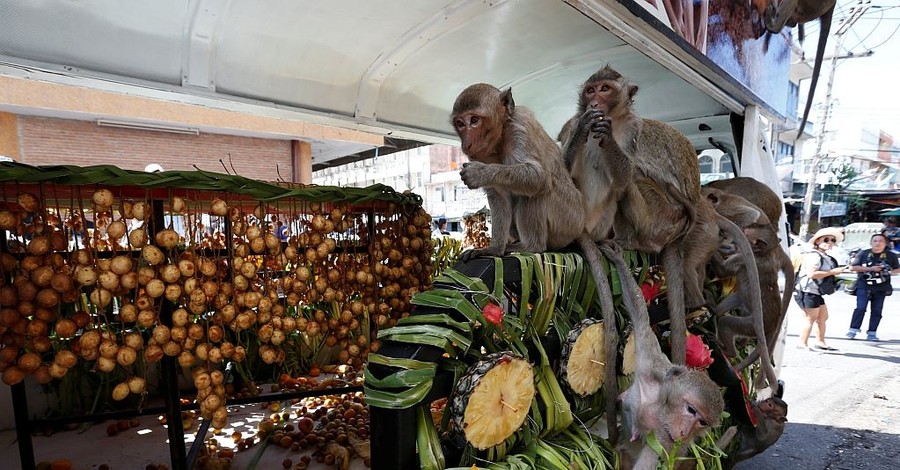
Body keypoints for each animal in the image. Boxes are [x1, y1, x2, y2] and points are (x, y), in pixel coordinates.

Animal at [450, 84, 584, 260]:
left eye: (474, 120)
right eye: (460, 123)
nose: (466, 144)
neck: (500, 138)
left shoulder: (520, 127)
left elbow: (538, 176)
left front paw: (480, 172)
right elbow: (498, 194)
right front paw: (494, 249)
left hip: (569, 220)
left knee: (538, 190)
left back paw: (532, 246)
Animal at [596, 242, 724, 470]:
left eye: (702, 422)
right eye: (691, 410)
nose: (685, 432)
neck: (659, 407)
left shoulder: (665, 441)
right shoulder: (651, 360)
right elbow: (640, 316)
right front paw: (617, 258)